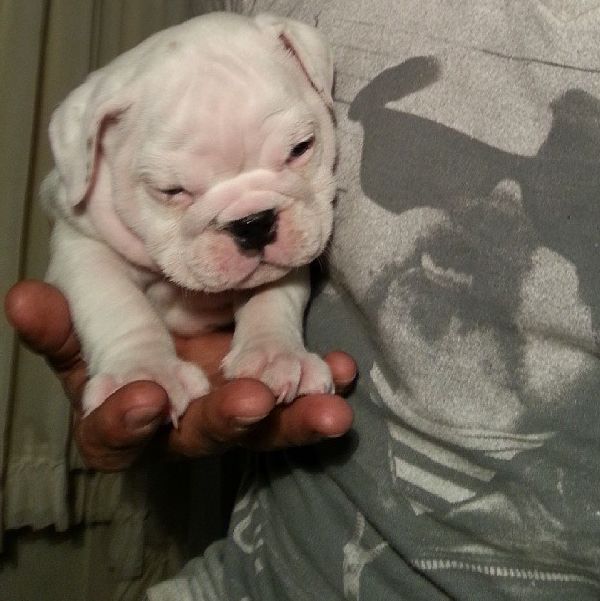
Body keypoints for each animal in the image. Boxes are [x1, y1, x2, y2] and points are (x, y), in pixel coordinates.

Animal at [42, 12, 337, 423]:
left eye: (300, 149)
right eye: (171, 191)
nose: (254, 223)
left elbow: (273, 296)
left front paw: (275, 356)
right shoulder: (82, 245)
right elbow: (117, 304)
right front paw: (145, 372)